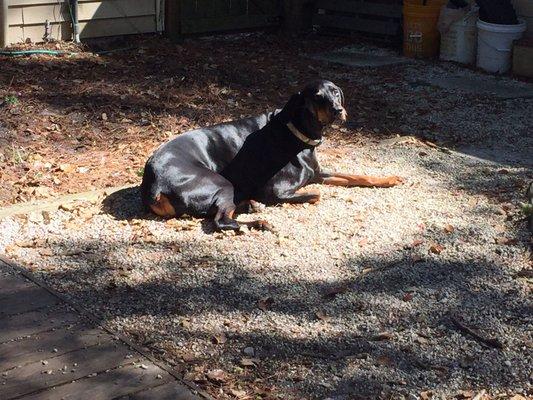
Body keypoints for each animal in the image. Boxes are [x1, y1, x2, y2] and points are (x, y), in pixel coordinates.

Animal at [139, 79, 402, 230]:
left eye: (336, 92)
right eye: (317, 96)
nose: (338, 110)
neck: (296, 131)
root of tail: (154, 184)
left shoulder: (318, 173)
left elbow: (356, 176)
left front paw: (390, 179)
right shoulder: (275, 190)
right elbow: (315, 194)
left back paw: (250, 207)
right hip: (220, 183)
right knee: (220, 221)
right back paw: (258, 220)